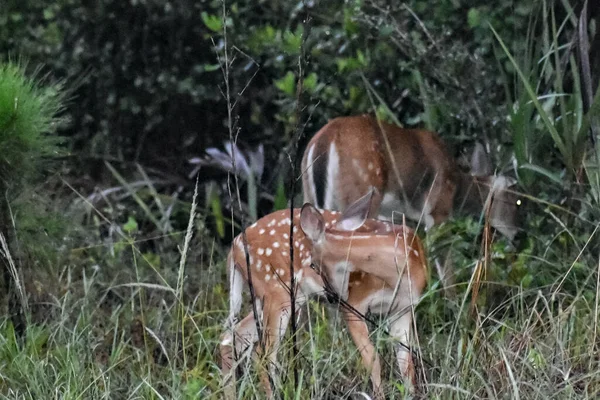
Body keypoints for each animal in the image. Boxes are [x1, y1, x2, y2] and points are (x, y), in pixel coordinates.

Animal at [220, 191, 426, 400]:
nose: (334, 296)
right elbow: (372, 360)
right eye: (313, 265)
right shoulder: (355, 305)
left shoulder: (403, 310)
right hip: (277, 291)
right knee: (263, 352)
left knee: (231, 337)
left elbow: (407, 365)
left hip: (271, 297)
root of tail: (234, 247)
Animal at [302, 114, 524, 242]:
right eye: (517, 202)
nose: (519, 235)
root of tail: (324, 141)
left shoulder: (393, 214)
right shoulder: (438, 211)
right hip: (363, 192)